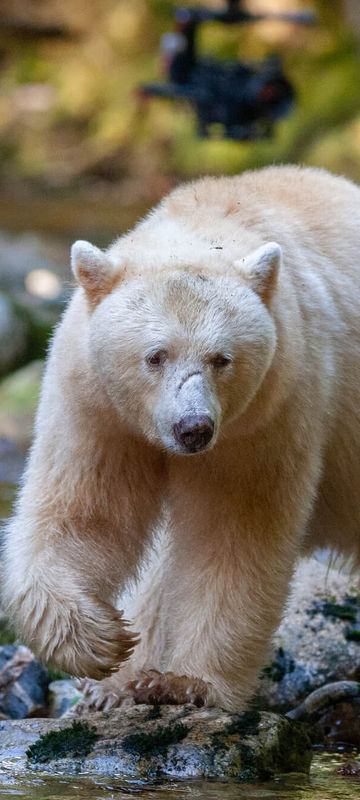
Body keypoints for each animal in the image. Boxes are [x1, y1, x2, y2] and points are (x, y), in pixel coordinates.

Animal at [2, 164, 360, 712]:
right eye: (156, 355)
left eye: (222, 358)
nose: (193, 427)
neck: (208, 222)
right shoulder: (99, 408)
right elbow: (87, 510)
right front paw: (101, 645)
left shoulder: (267, 414)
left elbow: (232, 533)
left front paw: (188, 683)